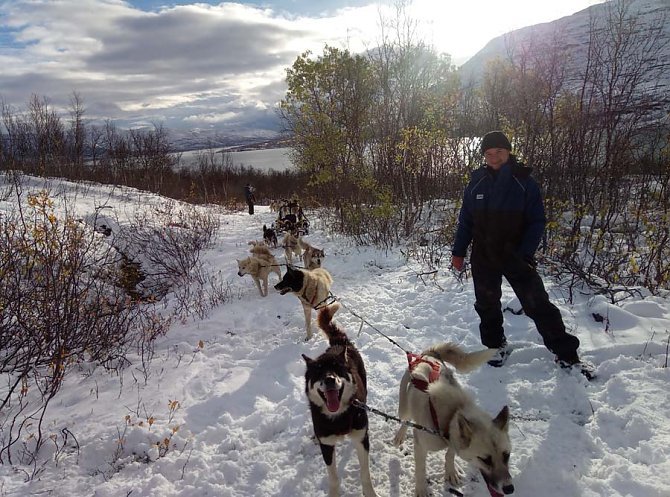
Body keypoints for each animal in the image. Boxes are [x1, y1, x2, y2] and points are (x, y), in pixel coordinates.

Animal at [304, 302, 378, 496]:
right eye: (318, 373)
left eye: (338, 370)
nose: (330, 379)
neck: (338, 418)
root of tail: (339, 343)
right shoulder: (327, 445)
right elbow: (333, 478)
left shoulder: (361, 439)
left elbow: (365, 473)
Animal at [394, 342, 516, 496]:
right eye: (485, 460)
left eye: (506, 455)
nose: (509, 488)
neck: (453, 412)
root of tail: (430, 354)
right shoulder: (420, 445)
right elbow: (421, 470)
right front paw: (421, 489)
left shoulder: (453, 440)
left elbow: (450, 455)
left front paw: (451, 471)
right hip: (404, 409)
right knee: (405, 419)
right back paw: (400, 435)